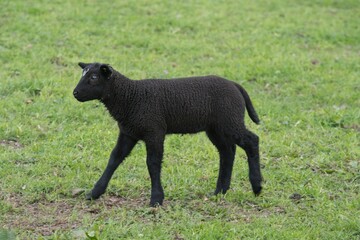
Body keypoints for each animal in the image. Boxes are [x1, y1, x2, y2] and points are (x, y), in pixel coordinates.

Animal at [73, 62, 262, 206]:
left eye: (94, 77)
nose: (75, 93)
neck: (129, 97)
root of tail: (235, 85)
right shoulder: (128, 133)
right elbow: (114, 159)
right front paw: (94, 192)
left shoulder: (154, 131)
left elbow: (153, 163)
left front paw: (156, 199)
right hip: (216, 128)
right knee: (227, 151)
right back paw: (220, 191)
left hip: (230, 121)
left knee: (252, 141)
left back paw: (257, 186)